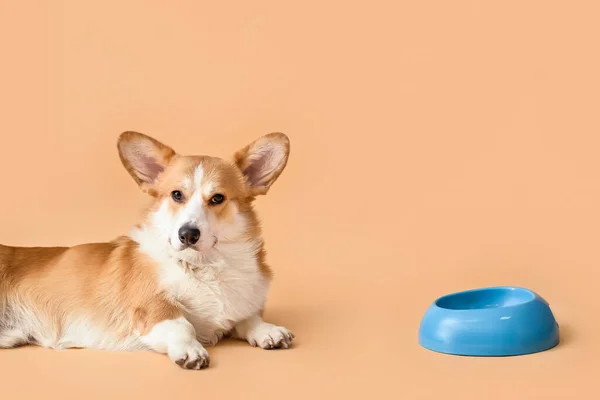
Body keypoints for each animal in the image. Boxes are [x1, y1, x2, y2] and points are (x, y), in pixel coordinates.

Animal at [0, 131, 292, 368]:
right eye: (176, 195)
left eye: (217, 198)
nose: (187, 234)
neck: (203, 265)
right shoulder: (151, 307)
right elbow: (182, 324)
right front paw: (190, 349)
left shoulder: (241, 304)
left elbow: (248, 318)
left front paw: (268, 330)